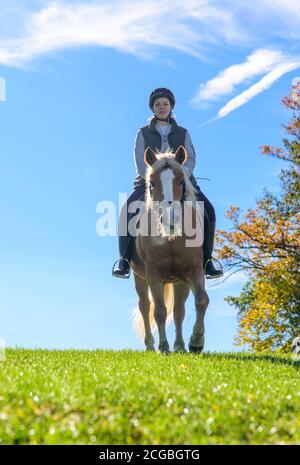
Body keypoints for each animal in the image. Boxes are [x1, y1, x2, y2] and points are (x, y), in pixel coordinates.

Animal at [131, 145, 209, 352]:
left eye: (181, 181)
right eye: (151, 184)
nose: (170, 220)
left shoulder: (193, 270)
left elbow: (201, 301)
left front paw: (196, 342)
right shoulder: (152, 274)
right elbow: (159, 311)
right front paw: (163, 346)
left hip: (179, 281)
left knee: (178, 311)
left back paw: (180, 346)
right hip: (139, 277)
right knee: (145, 306)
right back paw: (151, 345)